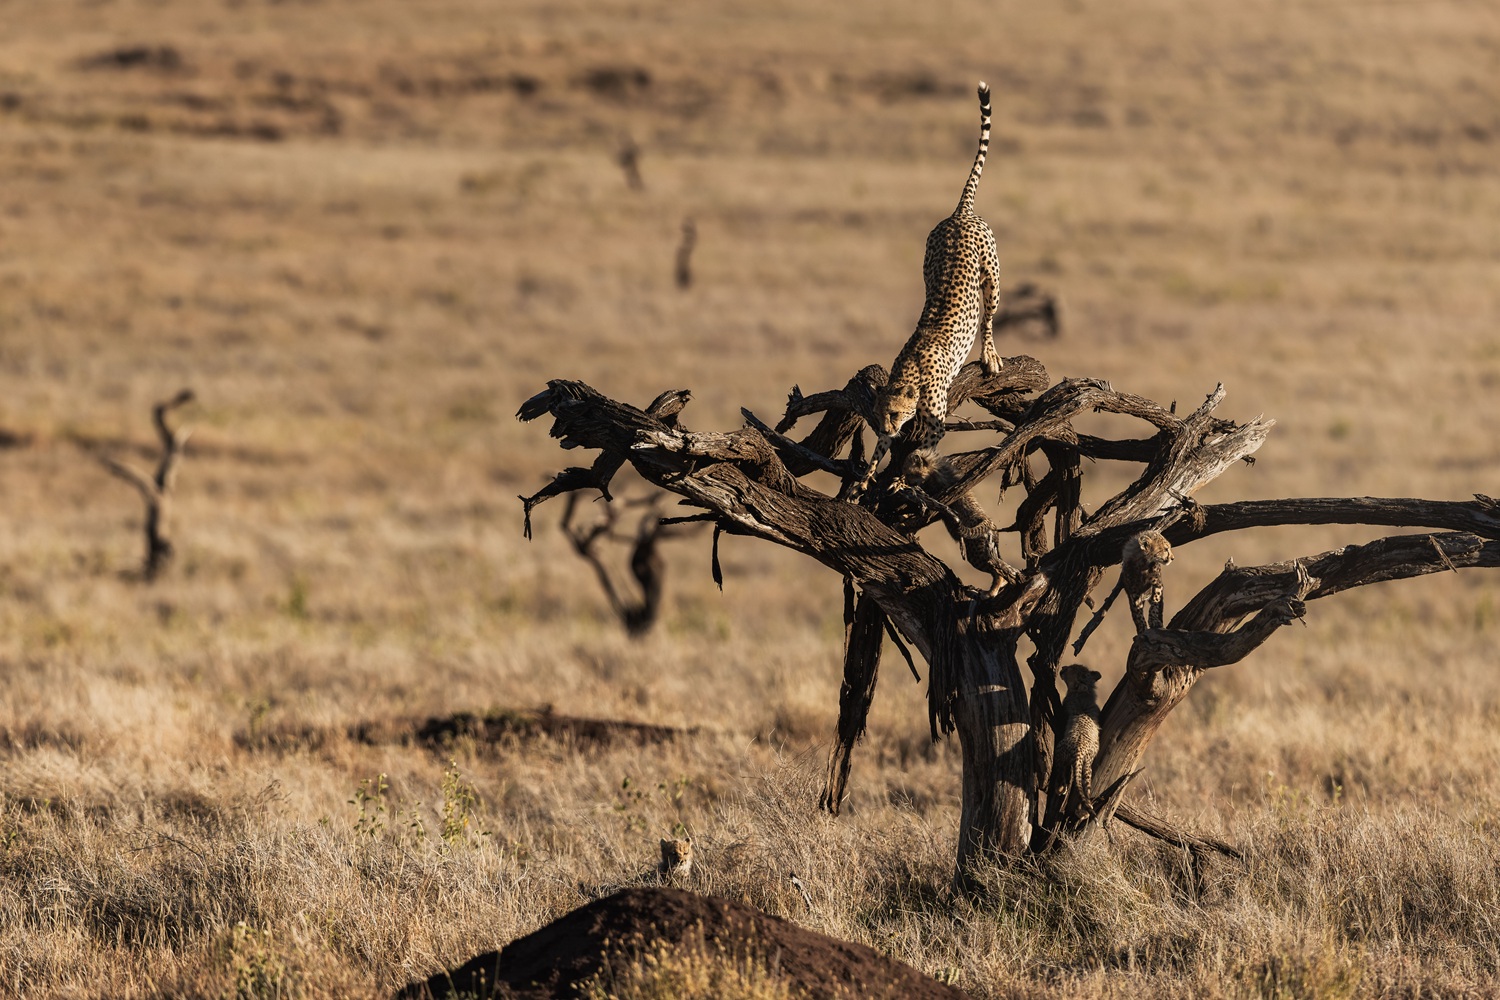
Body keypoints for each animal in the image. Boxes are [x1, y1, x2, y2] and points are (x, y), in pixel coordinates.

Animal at [865, 81, 1003, 489]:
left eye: (895, 413)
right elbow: (877, 454)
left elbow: (919, 451)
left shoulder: (935, 423)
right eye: (879, 415)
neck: (909, 372)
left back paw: (990, 356)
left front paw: (900, 480)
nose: (887, 427)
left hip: (992, 278)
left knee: (989, 318)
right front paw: (862, 483)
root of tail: (959, 214)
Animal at [1052, 664, 1103, 819]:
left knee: (1060, 770)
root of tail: (1079, 751)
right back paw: (1084, 812)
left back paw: (1060, 788)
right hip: (1087, 768)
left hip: (1059, 751)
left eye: (1071, 669)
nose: (1063, 667)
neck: (1084, 693)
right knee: (1085, 791)